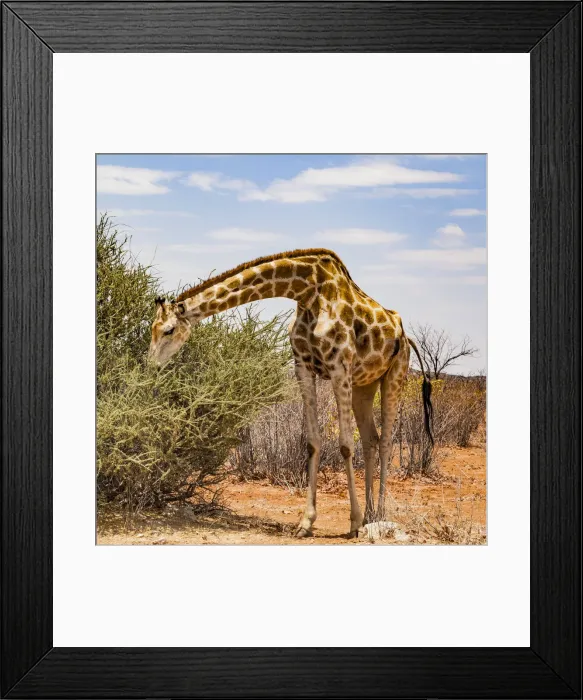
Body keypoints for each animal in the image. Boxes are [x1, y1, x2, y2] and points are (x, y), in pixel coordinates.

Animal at [148, 248, 433, 538]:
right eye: (152, 328)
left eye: (169, 330)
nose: (152, 366)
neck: (307, 291)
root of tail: (405, 337)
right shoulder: (303, 367)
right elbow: (313, 441)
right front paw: (306, 523)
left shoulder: (339, 367)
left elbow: (344, 444)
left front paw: (352, 522)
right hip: (364, 385)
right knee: (370, 439)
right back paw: (369, 515)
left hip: (395, 374)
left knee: (385, 441)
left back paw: (379, 515)